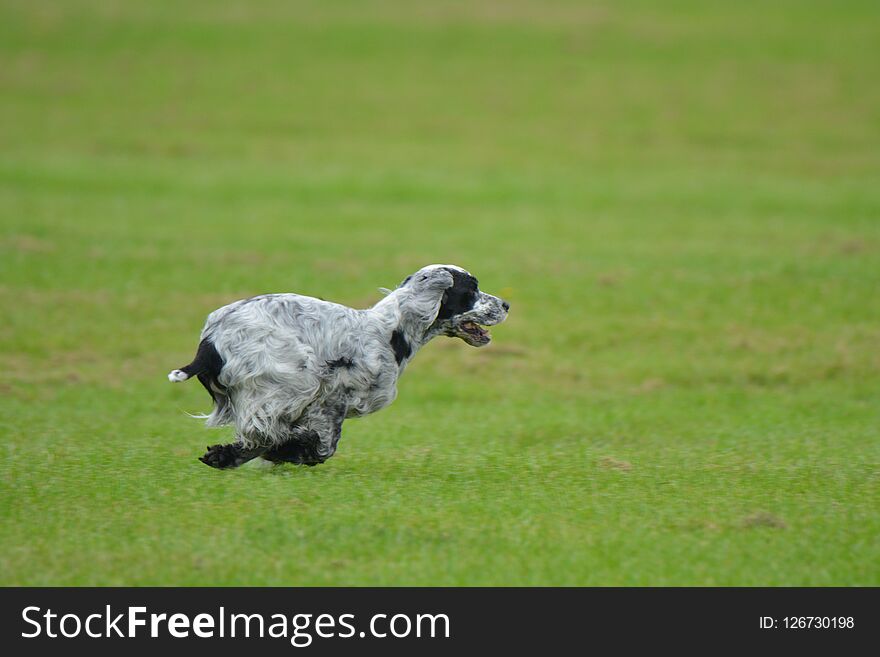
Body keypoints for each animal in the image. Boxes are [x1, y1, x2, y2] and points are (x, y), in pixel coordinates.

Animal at [168, 262, 508, 466]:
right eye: (471, 290)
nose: (506, 304)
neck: (389, 333)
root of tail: (210, 340)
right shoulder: (329, 397)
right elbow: (323, 445)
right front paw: (293, 450)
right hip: (297, 379)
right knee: (260, 430)